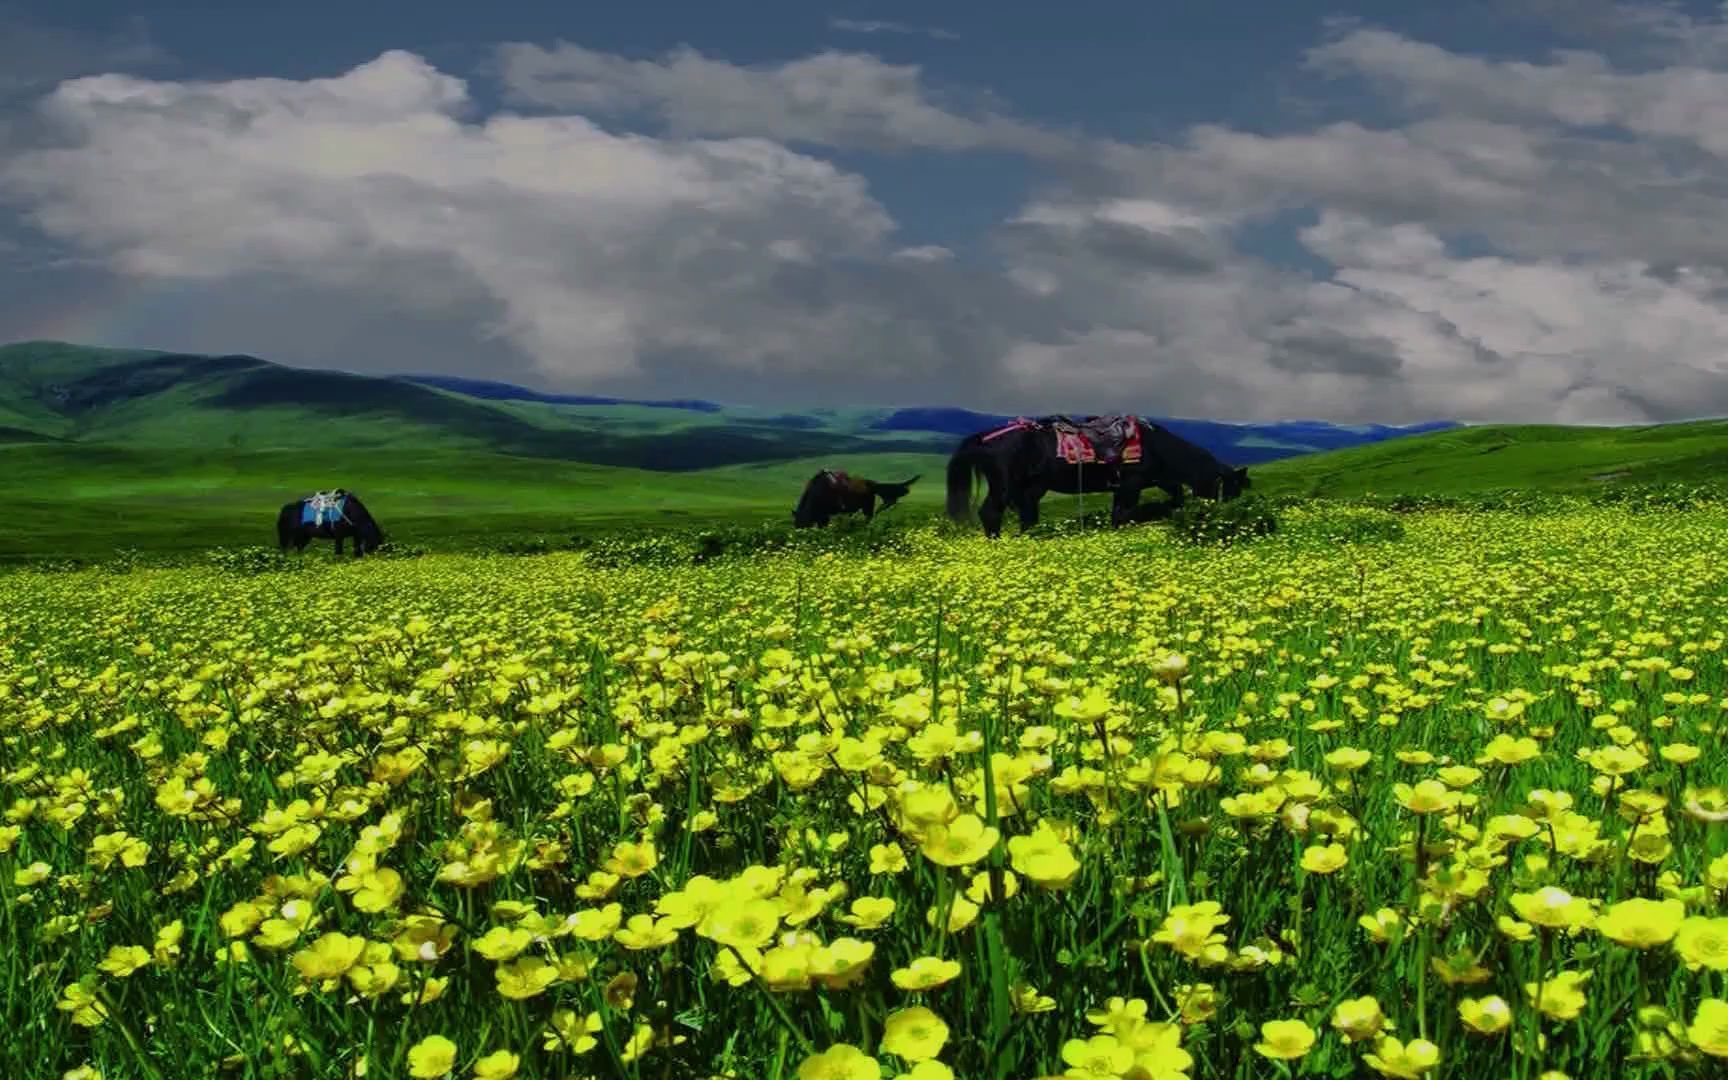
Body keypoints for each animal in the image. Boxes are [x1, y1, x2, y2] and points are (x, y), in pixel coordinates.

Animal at [791, 466, 926, 525]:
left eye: (800, 522)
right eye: (796, 522)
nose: (799, 530)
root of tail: (872, 485)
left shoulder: (824, 515)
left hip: (867, 507)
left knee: (869, 518)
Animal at [953, 414, 1251, 535]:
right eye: (1230, 489)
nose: (1224, 517)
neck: (1156, 446)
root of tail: (983, 438)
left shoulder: (1154, 481)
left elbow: (1172, 495)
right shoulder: (1132, 483)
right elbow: (1123, 514)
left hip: (1031, 488)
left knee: (1027, 515)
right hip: (1003, 484)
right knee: (991, 513)